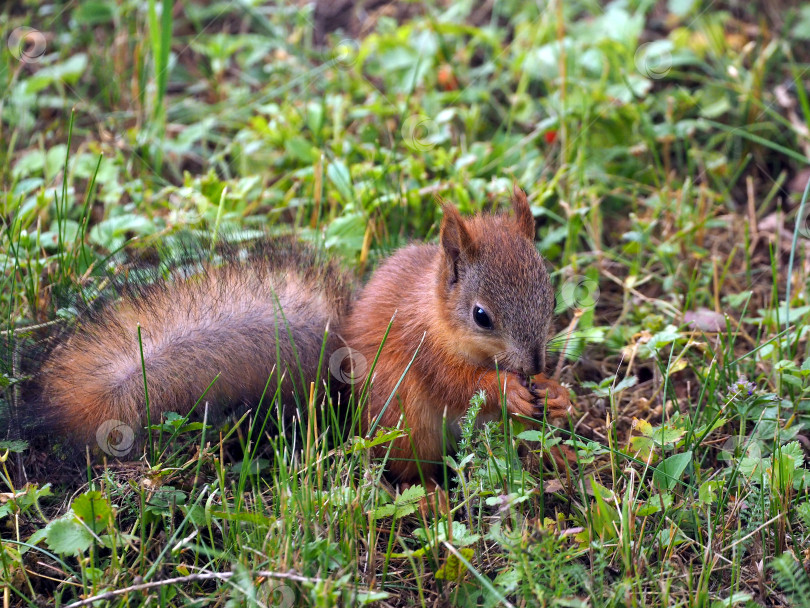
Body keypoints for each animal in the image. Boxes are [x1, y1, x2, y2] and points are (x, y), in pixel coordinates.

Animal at [12, 185, 568, 490]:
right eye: (481, 315)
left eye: (550, 291)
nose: (534, 365)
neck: (439, 317)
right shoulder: (421, 348)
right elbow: (459, 384)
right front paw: (507, 388)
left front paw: (556, 393)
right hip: (404, 418)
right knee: (407, 471)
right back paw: (431, 497)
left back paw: (551, 456)